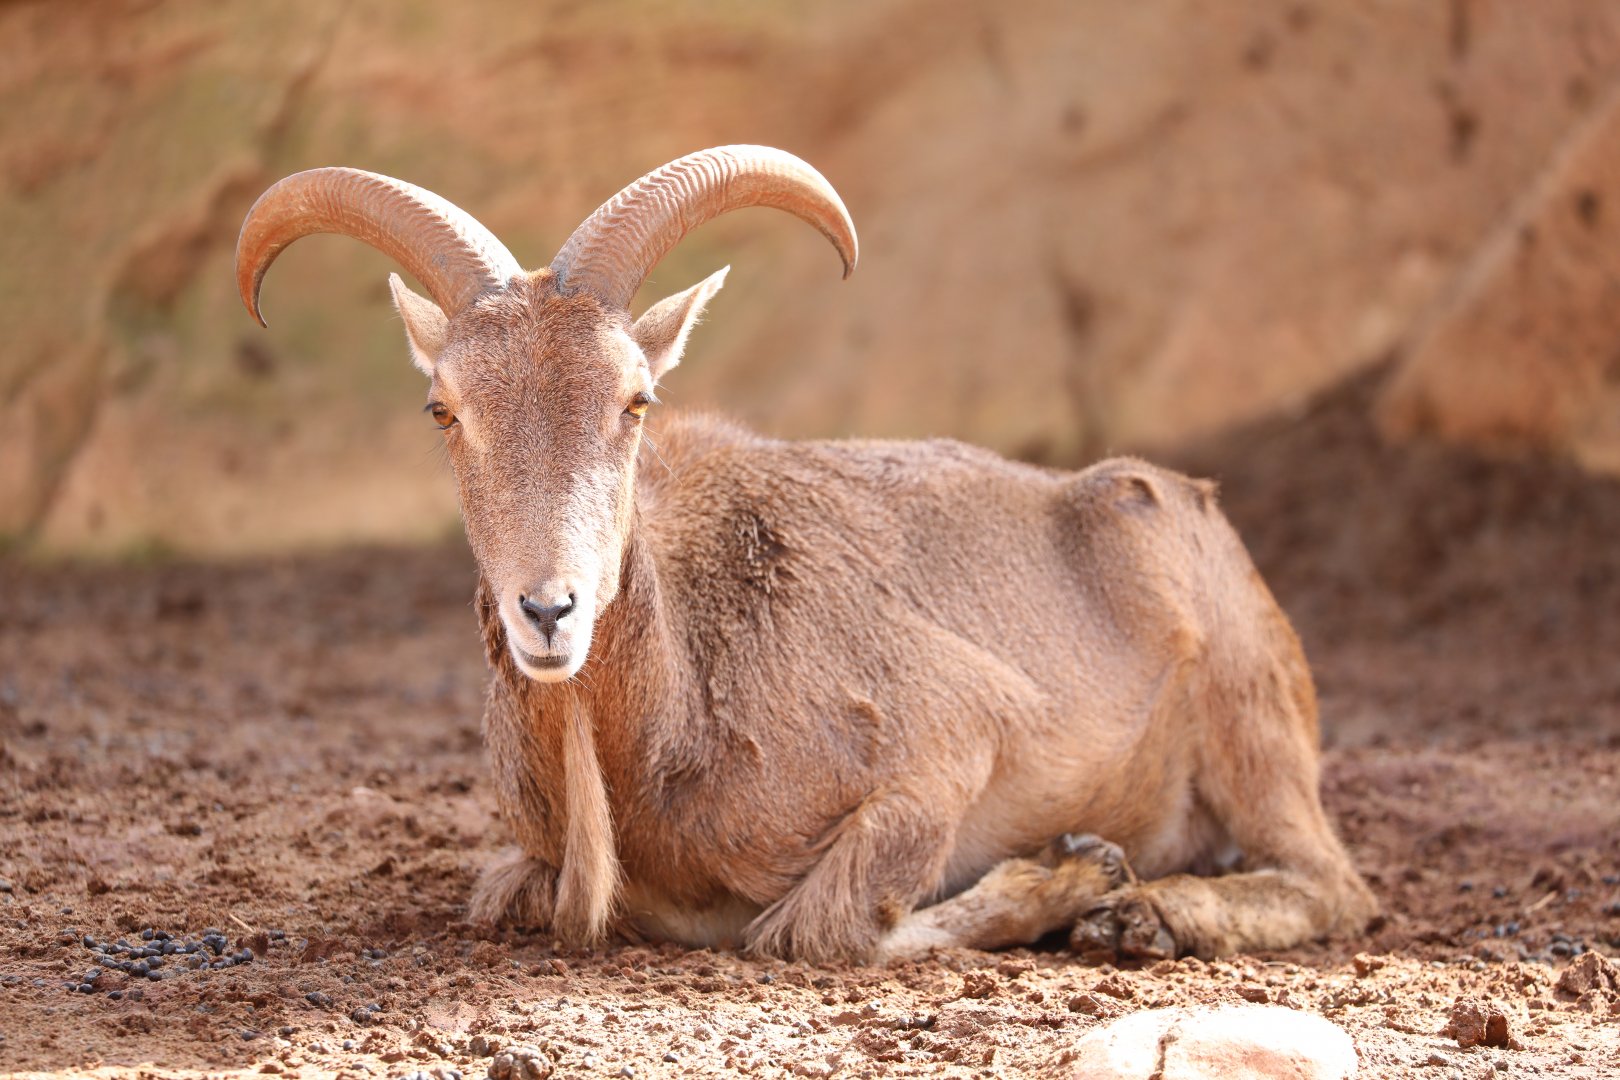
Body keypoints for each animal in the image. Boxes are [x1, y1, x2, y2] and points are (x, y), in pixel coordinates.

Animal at [235, 145, 1377, 964]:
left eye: (635, 399)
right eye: (445, 409)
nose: (550, 611)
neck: (665, 731)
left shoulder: (955, 735)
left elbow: (816, 928)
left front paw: (1082, 875)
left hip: (1249, 721)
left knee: (1333, 883)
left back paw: (1148, 917)